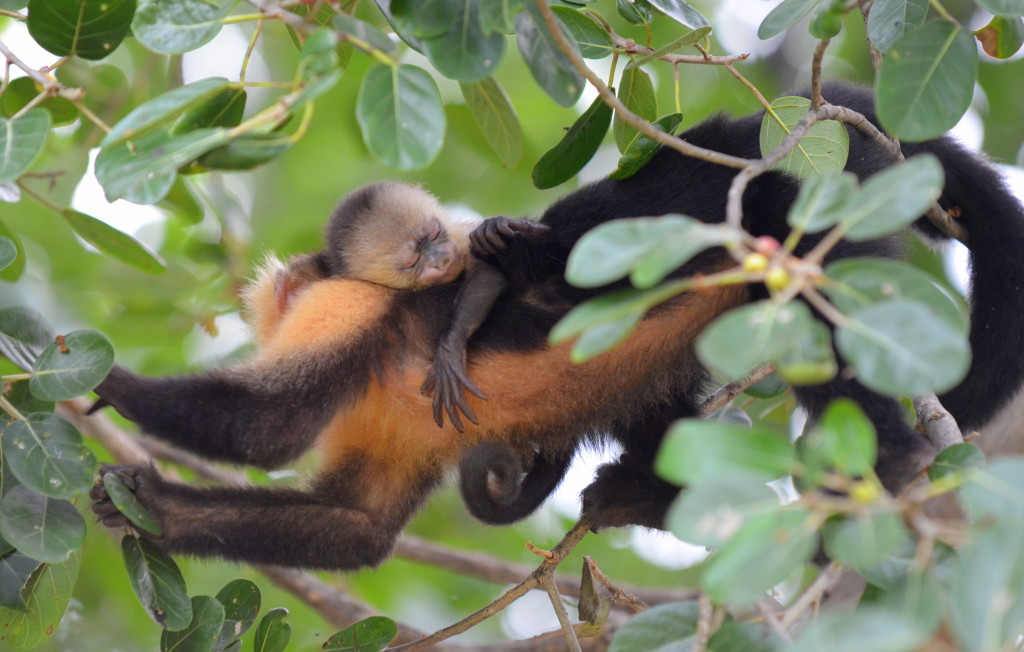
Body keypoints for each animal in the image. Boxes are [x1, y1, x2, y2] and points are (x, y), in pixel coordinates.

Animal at [89, 82, 1024, 569]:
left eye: (428, 245)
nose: (445, 253)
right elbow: (354, 529)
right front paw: (153, 509)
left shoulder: (349, 310)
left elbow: (270, 426)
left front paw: (99, 378)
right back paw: (648, 488)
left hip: (807, 193)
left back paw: (889, 464)